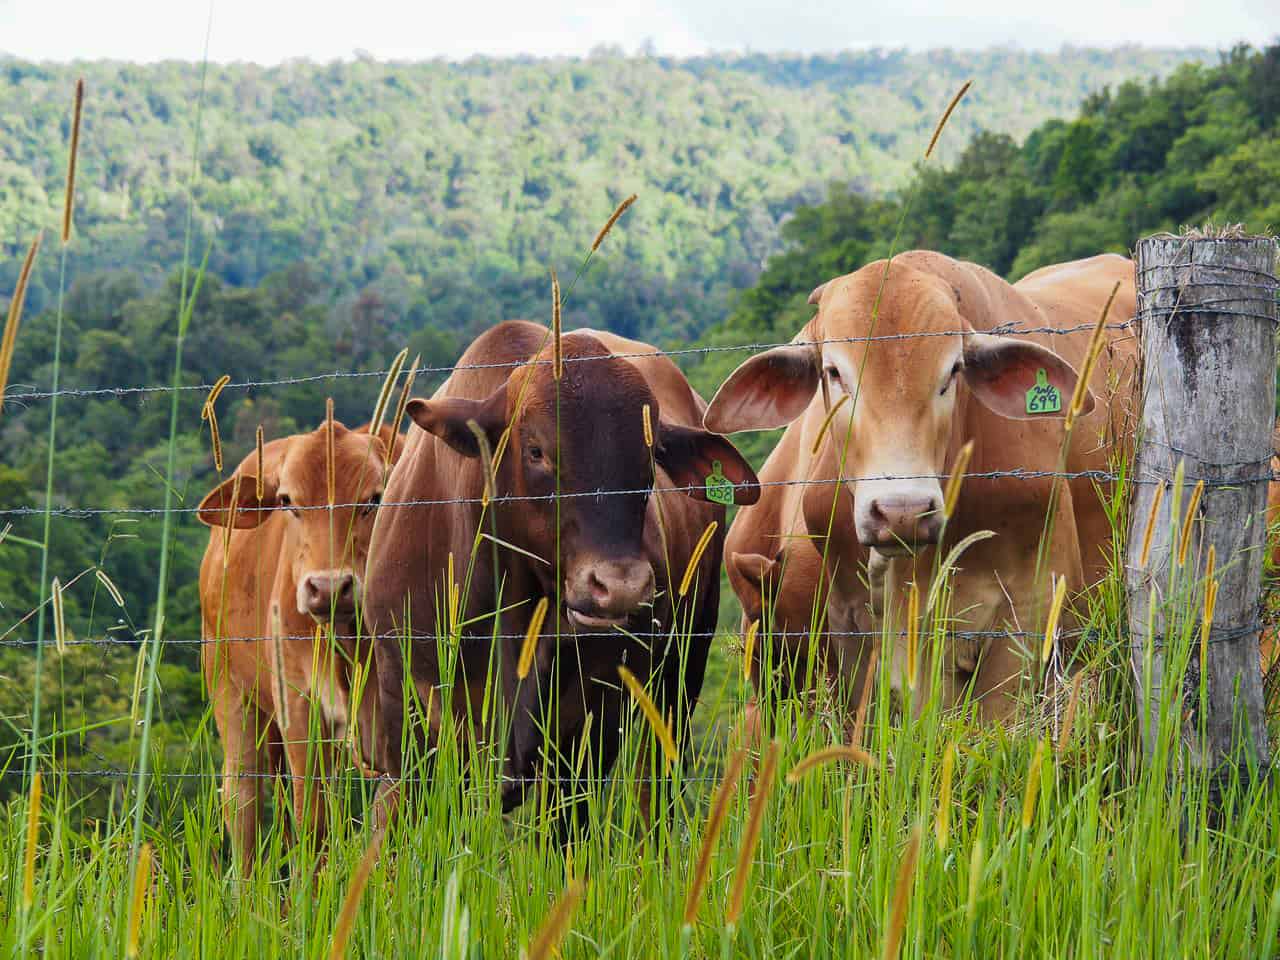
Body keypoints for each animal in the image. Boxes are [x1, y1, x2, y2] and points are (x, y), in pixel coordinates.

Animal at [197, 417, 399, 870]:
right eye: (288, 500)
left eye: (374, 498)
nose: (328, 588)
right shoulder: (299, 705)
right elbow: (315, 825)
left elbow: (385, 826)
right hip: (230, 688)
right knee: (244, 803)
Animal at [363, 321, 757, 829]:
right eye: (536, 451)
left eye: (651, 456)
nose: (620, 587)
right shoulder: (410, 729)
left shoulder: (585, 740)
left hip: (680, 677)